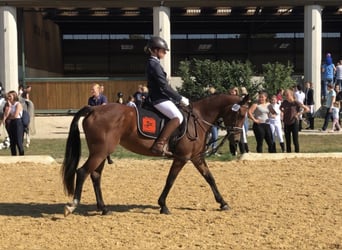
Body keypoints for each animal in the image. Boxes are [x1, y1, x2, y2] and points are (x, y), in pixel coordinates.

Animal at [61, 93, 248, 215]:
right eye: (239, 114)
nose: (236, 139)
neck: (199, 119)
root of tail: (94, 109)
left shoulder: (196, 157)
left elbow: (210, 178)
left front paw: (223, 203)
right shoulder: (182, 158)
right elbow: (170, 180)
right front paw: (163, 205)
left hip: (101, 152)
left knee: (95, 175)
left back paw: (104, 208)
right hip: (100, 152)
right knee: (83, 172)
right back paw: (72, 206)